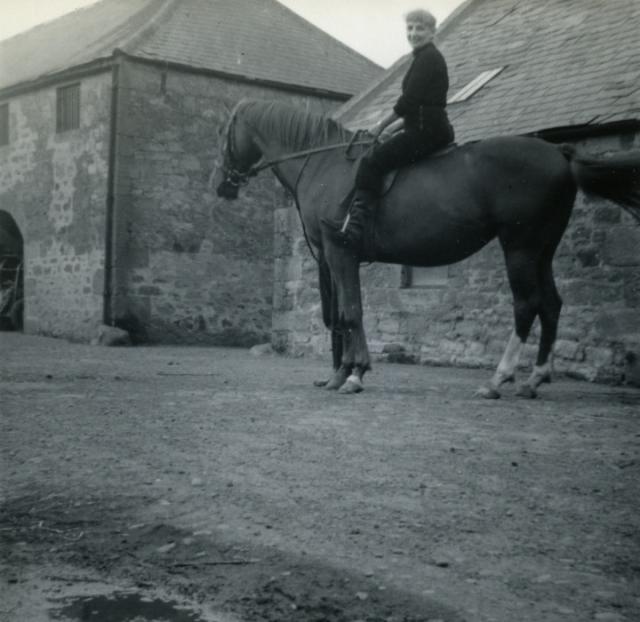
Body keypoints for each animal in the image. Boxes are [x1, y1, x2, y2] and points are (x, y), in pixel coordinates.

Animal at [216, 97, 640, 400]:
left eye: (225, 132)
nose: (221, 184)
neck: (323, 164)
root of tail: (558, 154)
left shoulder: (339, 252)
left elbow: (351, 312)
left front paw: (356, 373)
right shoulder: (334, 259)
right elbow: (343, 313)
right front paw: (341, 373)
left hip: (519, 246)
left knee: (527, 304)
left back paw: (499, 379)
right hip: (542, 249)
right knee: (551, 304)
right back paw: (534, 379)